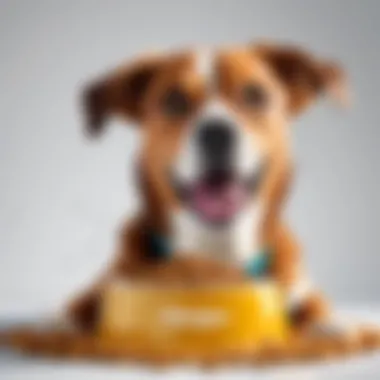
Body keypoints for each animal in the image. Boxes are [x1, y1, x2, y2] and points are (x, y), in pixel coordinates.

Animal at [69, 41, 350, 336]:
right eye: (174, 100)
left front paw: (331, 325)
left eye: (254, 95)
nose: (217, 134)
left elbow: (315, 307)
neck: (217, 254)